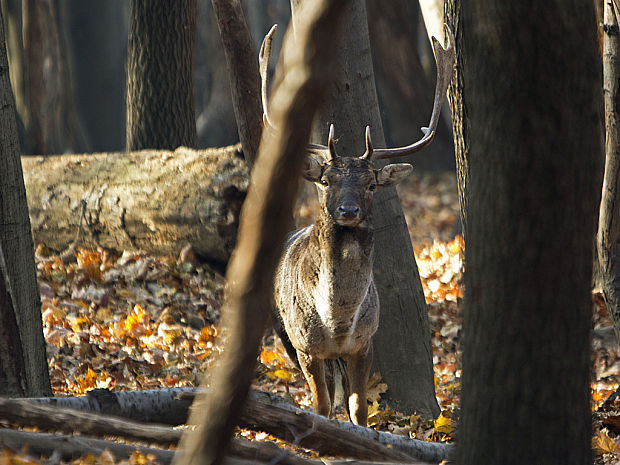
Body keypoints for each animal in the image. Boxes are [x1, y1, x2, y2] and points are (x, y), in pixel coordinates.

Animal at [262, 24, 456, 424]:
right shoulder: (305, 345)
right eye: (325, 181)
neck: (337, 322)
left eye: (370, 184)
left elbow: (358, 407)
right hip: (281, 330)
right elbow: (321, 406)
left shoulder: (365, 342)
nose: (348, 210)